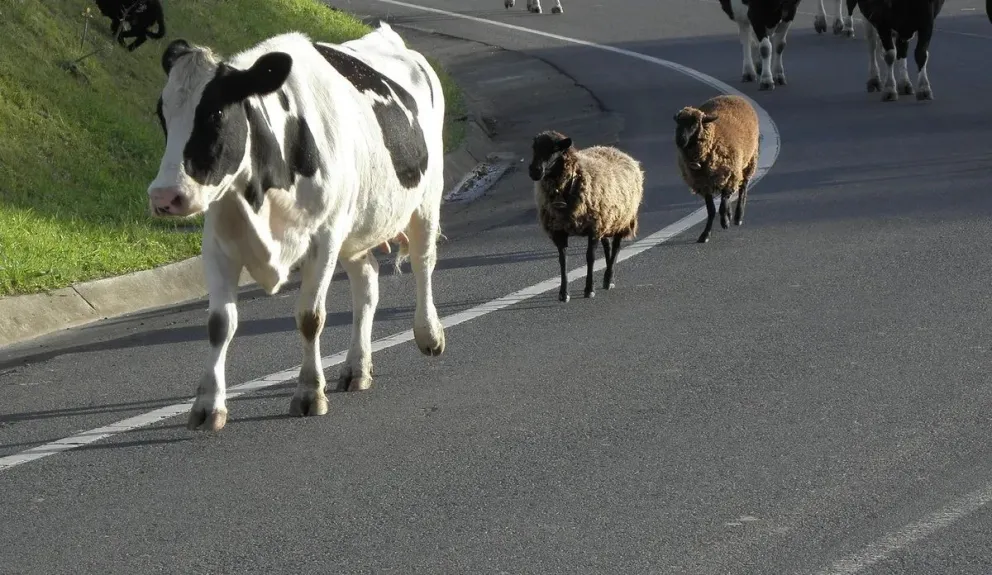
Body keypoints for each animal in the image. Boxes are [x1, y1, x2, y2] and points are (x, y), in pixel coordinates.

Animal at [147, 22, 448, 431]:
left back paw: (429, 334)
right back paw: (357, 367)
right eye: (161, 115)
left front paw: (308, 393)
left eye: (216, 113)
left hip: (426, 199)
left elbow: (310, 317)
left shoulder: (325, 238)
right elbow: (220, 323)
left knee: (423, 262)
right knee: (367, 283)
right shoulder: (219, 244)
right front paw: (209, 405)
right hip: (355, 227)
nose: (164, 196)